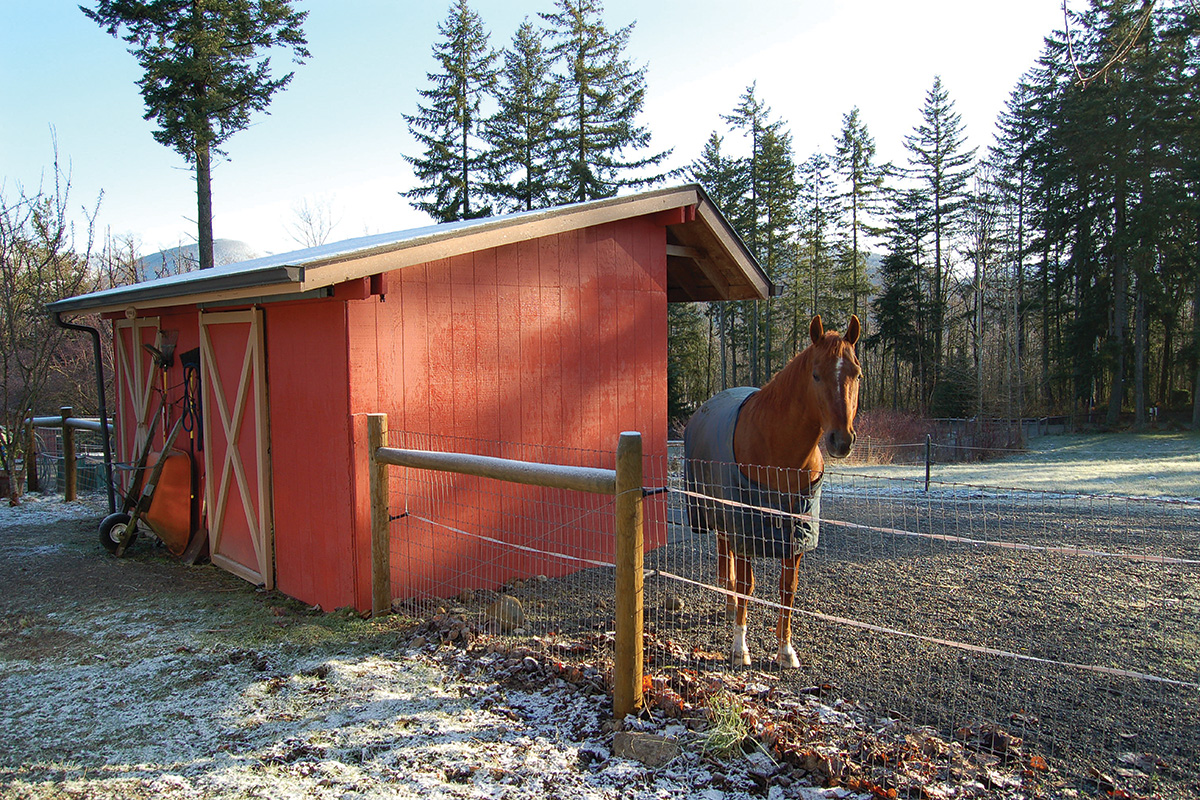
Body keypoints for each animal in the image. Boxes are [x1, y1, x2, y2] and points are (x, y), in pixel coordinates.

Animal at [686, 311, 864, 671]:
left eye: (857, 373)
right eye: (816, 375)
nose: (842, 440)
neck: (779, 452)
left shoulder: (796, 532)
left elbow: (787, 590)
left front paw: (785, 650)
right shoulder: (745, 528)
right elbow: (746, 585)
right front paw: (739, 649)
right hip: (720, 515)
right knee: (727, 560)